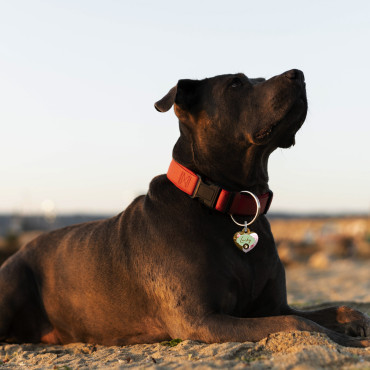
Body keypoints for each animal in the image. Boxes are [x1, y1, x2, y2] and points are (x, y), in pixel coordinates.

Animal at [0, 70, 370, 346]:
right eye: (236, 83)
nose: (299, 74)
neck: (230, 203)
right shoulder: (202, 319)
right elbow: (300, 325)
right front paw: (353, 342)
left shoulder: (272, 305)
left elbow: (331, 311)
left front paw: (356, 322)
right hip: (13, 283)